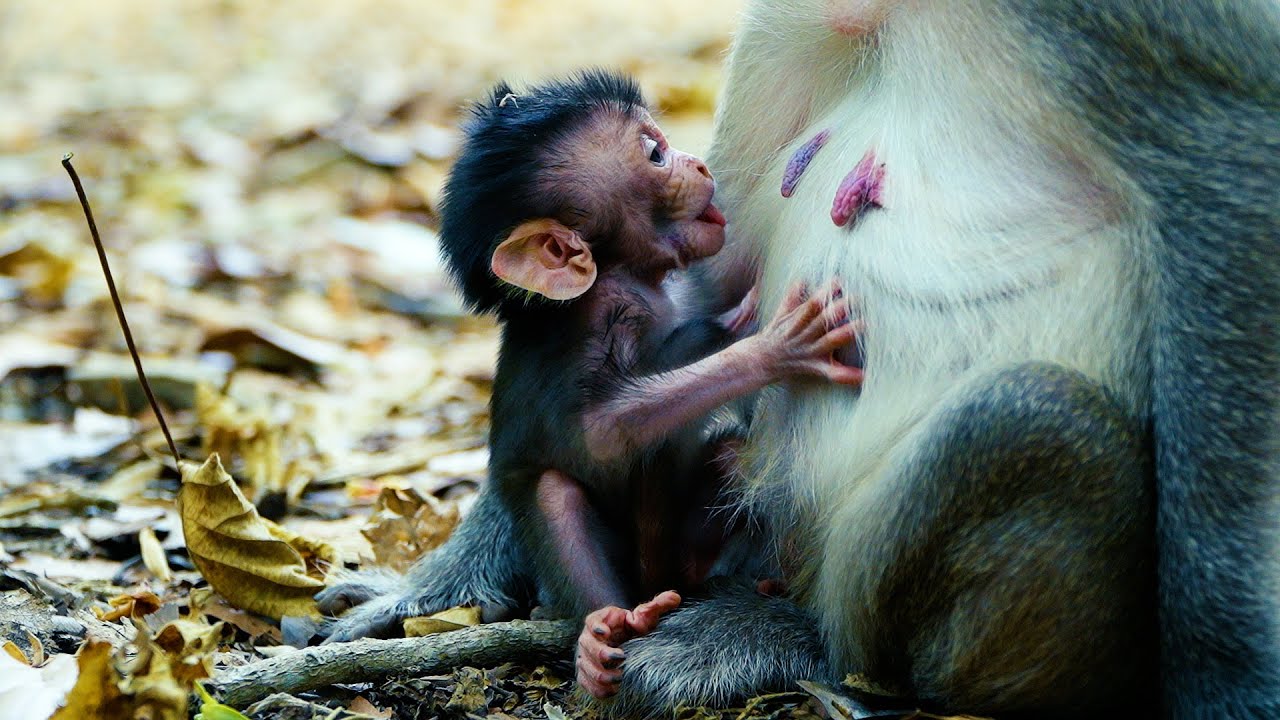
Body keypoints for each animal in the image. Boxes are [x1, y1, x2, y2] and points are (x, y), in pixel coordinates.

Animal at [317, 70, 864, 642]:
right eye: (655, 154)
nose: (698, 163)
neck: (624, 276)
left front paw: (742, 319)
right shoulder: (599, 325)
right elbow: (599, 435)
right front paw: (776, 347)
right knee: (557, 493)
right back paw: (604, 632)